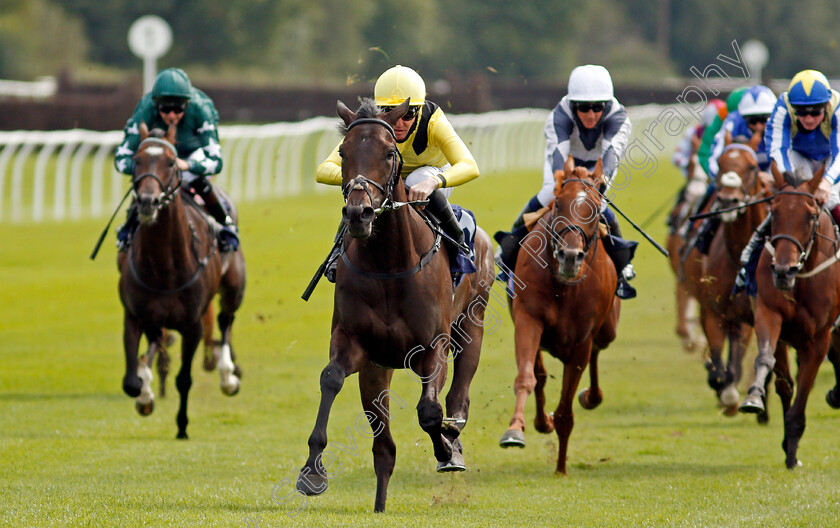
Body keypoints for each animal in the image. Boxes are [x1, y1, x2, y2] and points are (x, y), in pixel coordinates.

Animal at [117, 122, 246, 438]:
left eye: (171, 163)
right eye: (136, 161)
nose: (147, 202)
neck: (164, 268)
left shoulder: (192, 324)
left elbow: (184, 379)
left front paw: (182, 426)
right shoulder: (134, 315)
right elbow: (131, 381)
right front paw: (144, 395)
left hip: (233, 287)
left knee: (225, 320)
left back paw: (228, 376)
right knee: (156, 340)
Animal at [296, 99, 496, 512]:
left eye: (389, 153)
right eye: (343, 153)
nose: (359, 214)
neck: (389, 265)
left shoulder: (432, 346)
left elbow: (430, 412)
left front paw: (446, 450)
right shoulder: (356, 344)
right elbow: (331, 378)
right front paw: (312, 471)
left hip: (473, 321)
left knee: (459, 392)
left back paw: (454, 435)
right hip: (378, 368)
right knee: (384, 448)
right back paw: (380, 503)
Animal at [496, 157, 620, 474]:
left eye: (595, 207)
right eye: (559, 204)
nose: (570, 257)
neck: (564, 288)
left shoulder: (581, 342)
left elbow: (566, 410)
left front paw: (561, 468)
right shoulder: (528, 319)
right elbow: (528, 378)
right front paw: (515, 429)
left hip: (607, 328)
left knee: (599, 349)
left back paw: (590, 396)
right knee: (539, 375)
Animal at [684, 141, 768, 416]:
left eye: (752, 167)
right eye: (720, 163)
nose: (728, 199)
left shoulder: (750, 317)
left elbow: (736, 364)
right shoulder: (712, 311)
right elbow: (718, 371)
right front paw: (724, 390)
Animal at [740, 165, 840, 466]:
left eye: (810, 216)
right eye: (774, 212)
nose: (784, 271)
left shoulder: (819, 338)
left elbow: (806, 388)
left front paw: (792, 451)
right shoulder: (769, 313)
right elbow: (767, 361)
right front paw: (754, 398)